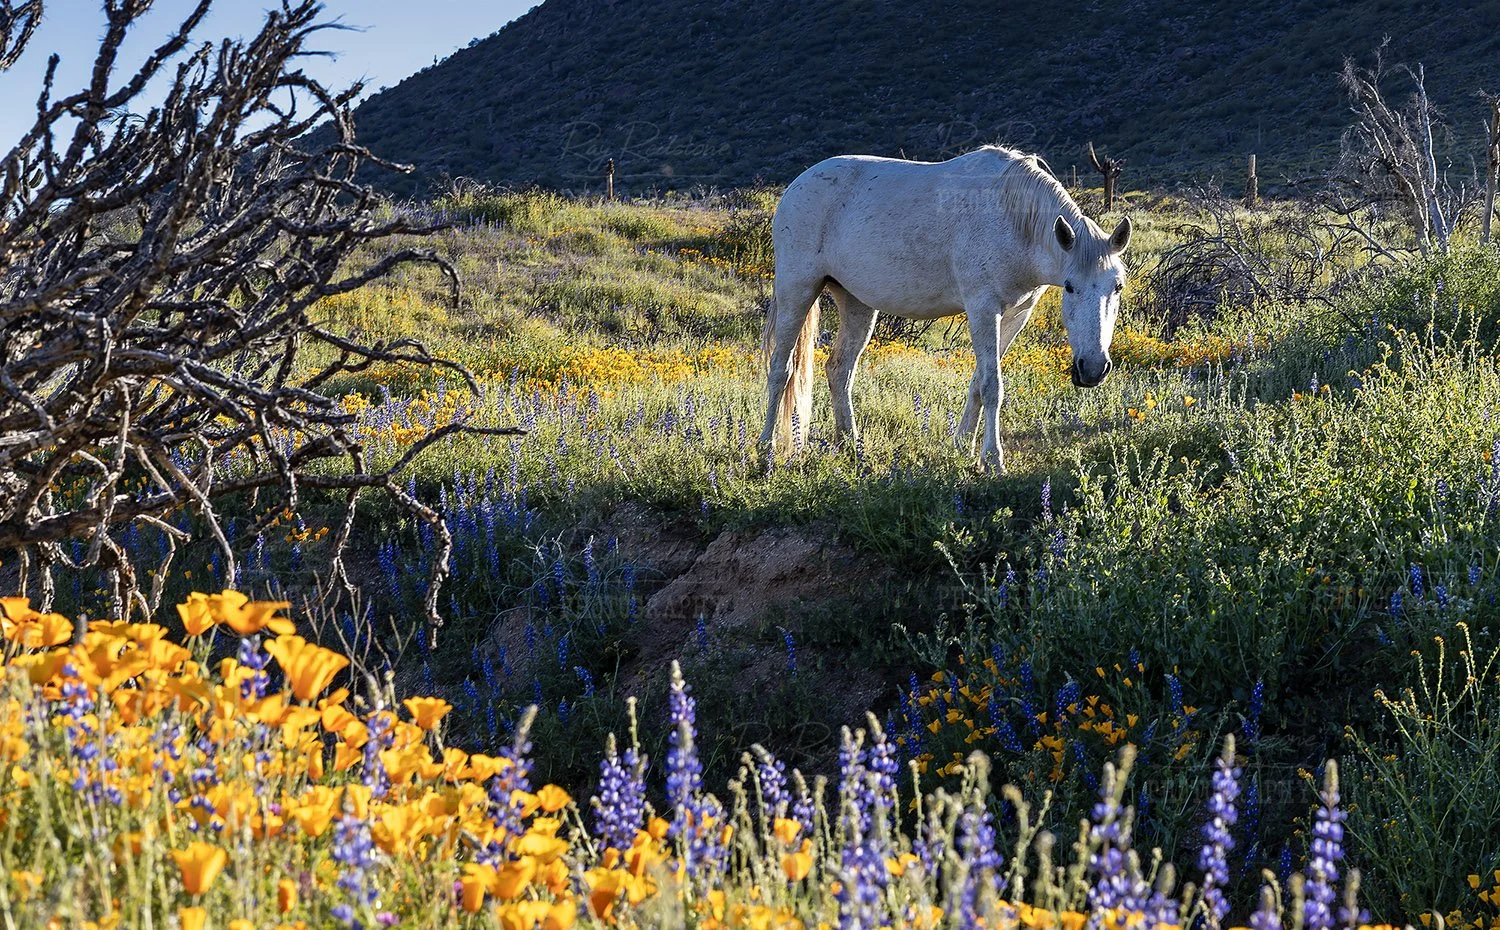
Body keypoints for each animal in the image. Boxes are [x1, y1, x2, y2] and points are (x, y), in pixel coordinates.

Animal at [759, 144, 1132, 472]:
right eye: (1070, 286)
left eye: (1117, 286)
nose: (1093, 369)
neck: (1013, 218)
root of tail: (797, 186)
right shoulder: (983, 308)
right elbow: (992, 385)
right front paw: (993, 459)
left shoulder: (1016, 314)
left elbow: (979, 382)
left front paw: (964, 447)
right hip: (797, 291)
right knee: (780, 370)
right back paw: (766, 452)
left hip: (857, 304)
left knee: (839, 370)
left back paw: (854, 449)